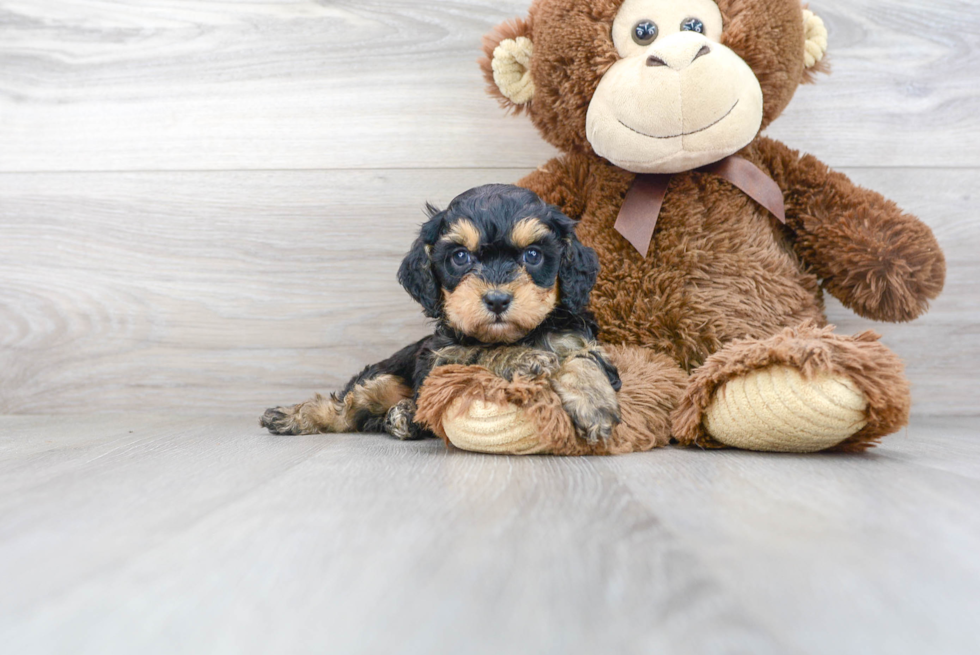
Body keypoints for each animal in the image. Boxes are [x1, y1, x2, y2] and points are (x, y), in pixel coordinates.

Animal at [260, 184, 620, 446]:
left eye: (533, 255)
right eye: (460, 256)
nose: (497, 300)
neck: (520, 334)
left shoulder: (576, 337)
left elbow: (582, 358)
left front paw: (594, 402)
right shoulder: (440, 360)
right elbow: (478, 352)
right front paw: (523, 358)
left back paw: (402, 417)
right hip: (382, 378)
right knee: (346, 408)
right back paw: (292, 417)